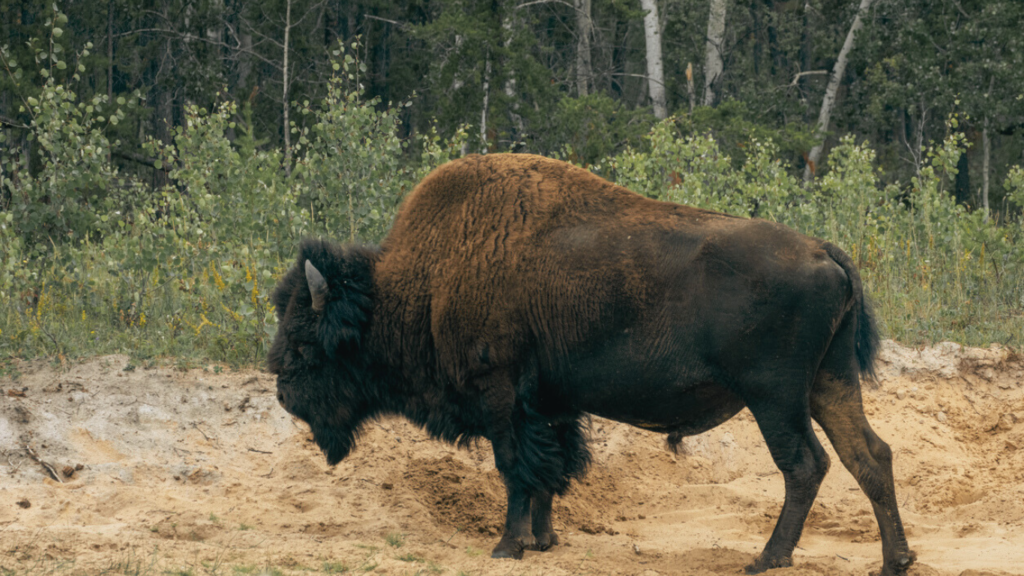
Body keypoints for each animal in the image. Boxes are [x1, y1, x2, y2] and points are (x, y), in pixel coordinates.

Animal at [268, 152, 917, 573]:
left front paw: (507, 546)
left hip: (775, 398)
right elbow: (549, 472)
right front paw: (543, 541)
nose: (280, 389)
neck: (424, 284)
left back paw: (768, 559)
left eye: (305, 342)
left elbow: (516, 470)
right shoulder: (550, 406)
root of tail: (824, 250)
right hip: (829, 384)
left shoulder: (501, 397)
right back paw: (896, 560)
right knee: (869, 455)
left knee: (805, 465)